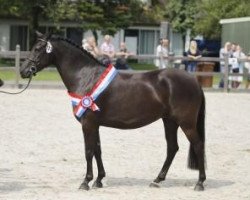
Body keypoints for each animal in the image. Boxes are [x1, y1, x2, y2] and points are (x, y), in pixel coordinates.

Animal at [20, 32, 206, 191]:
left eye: (37, 48)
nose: (23, 70)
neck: (85, 76)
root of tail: (194, 81)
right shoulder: (95, 124)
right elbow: (97, 150)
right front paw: (99, 180)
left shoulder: (88, 123)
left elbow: (88, 151)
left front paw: (85, 182)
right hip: (170, 121)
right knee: (172, 148)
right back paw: (157, 180)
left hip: (186, 123)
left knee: (198, 145)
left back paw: (199, 183)